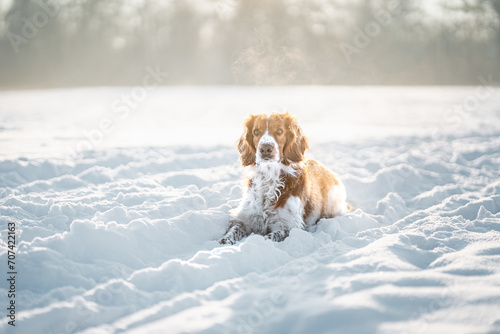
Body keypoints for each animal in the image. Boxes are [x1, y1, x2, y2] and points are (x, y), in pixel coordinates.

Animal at [221, 113, 350, 244]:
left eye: (279, 131)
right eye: (256, 132)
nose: (265, 148)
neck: (269, 177)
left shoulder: (289, 225)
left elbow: (269, 237)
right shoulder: (246, 218)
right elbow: (233, 231)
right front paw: (225, 242)